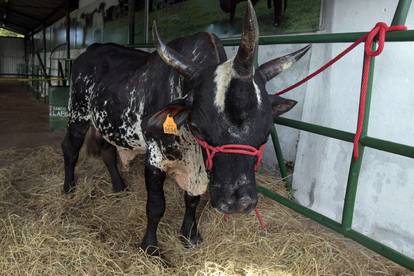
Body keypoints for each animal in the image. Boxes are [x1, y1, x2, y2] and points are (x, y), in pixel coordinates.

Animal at [60, 0, 308, 256]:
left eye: (267, 131)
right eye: (197, 127)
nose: (238, 203)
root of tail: (89, 51)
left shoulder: (199, 164)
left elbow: (192, 199)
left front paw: (189, 235)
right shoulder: (155, 158)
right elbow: (156, 206)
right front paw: (150, 247)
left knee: (107, 151)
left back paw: (119, 187)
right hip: (78, 114)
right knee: (70, 148)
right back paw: (69, 188)